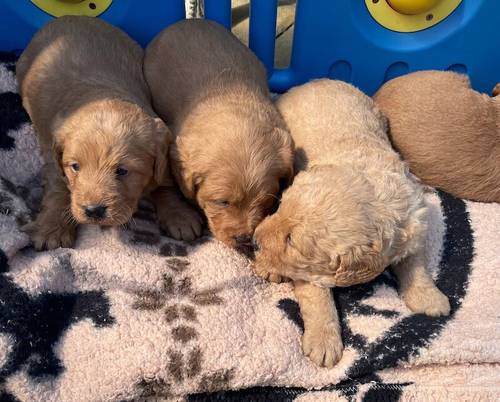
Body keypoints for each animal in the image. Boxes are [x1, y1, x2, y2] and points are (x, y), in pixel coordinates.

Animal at [17, 17, 201, 250]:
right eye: (75, 167)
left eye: (122, 171)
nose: (93, 211)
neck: (100, 94)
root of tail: (70, 17)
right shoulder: (52, 156)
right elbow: (58, 189)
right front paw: (53, 229)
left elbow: (163, 182)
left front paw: (179, 215)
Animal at [144, 18, 292, 254]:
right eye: (222, 202)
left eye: (265, 202)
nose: (244, 238)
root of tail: (190, 20)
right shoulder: (172, 148)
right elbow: (165, 184)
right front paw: (179, 217)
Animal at [252, 80, 452, 370]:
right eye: (280, 206)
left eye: (291, 240)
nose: (254, 239)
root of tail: (312, 81)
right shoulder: (309, 273)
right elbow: (317, 299)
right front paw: (323, 343)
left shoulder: (414, 224)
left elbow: (416, 265)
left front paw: (430, 298)